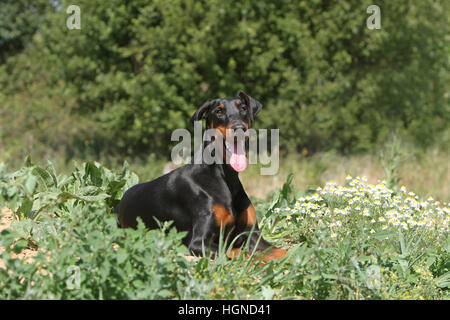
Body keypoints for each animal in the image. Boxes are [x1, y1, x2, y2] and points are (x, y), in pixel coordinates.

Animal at [118, 90, 288, 262]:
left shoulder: (253, 235)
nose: (239, 128)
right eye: (219, 111)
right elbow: (244, 254)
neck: (225, 176)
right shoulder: (198, 242)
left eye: (243, 108)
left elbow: (283, 251)